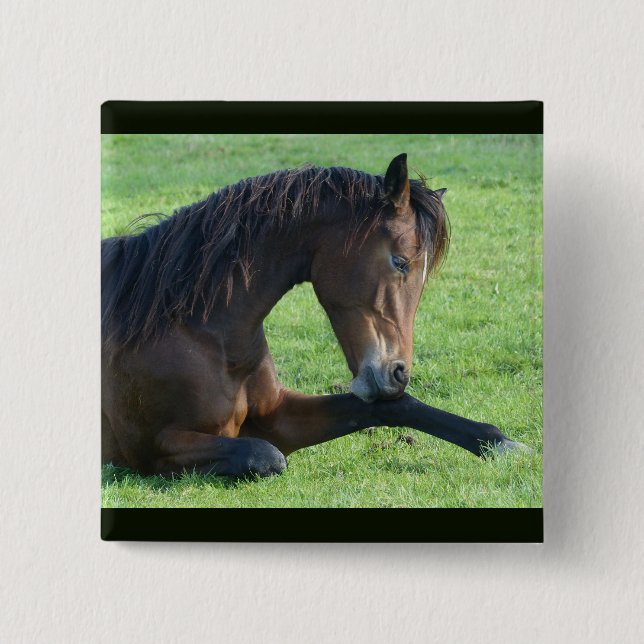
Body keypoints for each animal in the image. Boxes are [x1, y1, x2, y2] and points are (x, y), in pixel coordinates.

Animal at [101, 153, 526, 479]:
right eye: (400, 261)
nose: (397, 374)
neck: (197, 331)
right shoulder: (155, 447)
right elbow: (265, 455)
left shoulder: (279, 416)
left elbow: (394, 407)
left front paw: (499, 442)